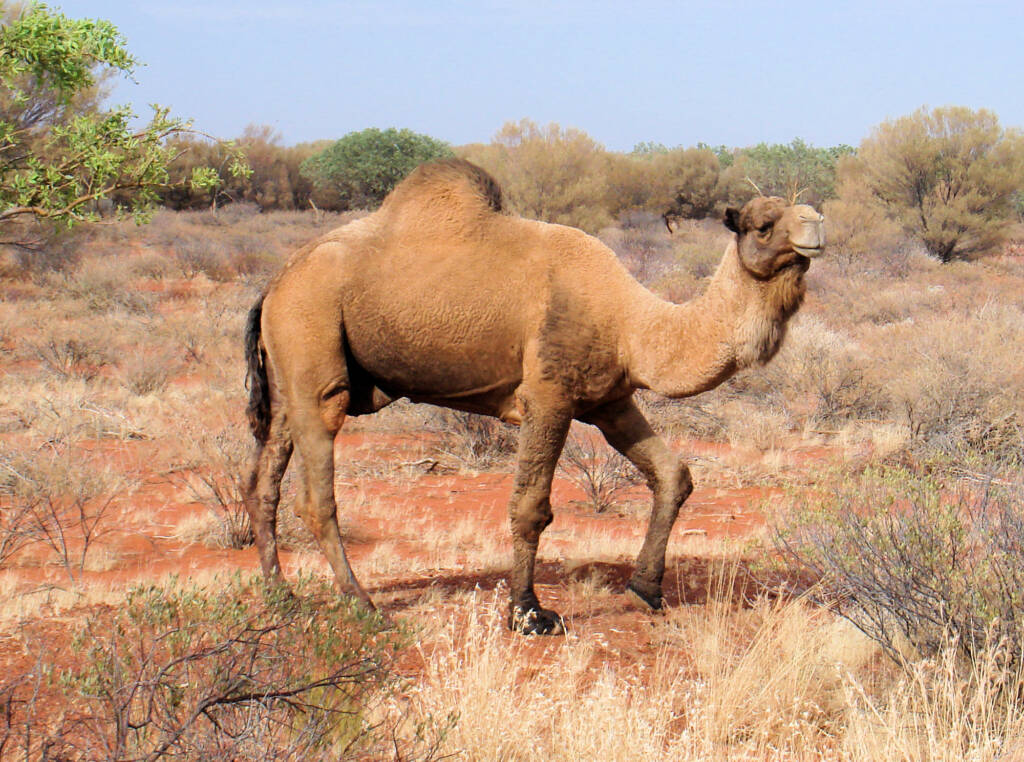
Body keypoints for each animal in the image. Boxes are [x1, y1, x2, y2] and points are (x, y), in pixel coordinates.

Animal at [243, 158, 825, 635]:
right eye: (762, 223)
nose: (816, 225)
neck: (631, 323)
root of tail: (274, 283)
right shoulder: (549, 395)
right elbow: (531, 507)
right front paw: (527, 613)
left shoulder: (608, 400)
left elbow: (673, 475)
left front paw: (647, 589)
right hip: (313, 338)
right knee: (316, 491)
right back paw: (362, 604)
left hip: (289, 375)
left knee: (262, 481)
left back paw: (280, 594)